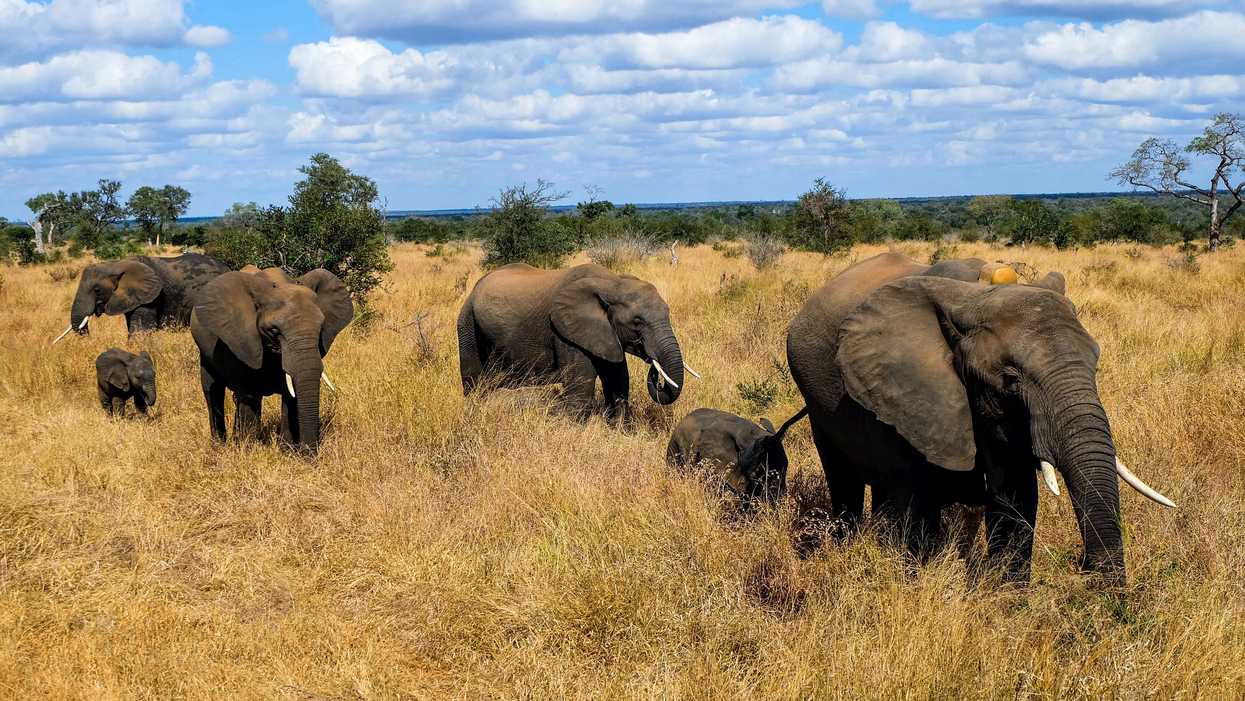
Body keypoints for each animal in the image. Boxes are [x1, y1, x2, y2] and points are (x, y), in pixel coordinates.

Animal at [191, 269, 353, 450]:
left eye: (321, 328)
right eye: (274, 330)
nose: (308, 452)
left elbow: (290, 395)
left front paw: (287, 450)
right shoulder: (244, 341)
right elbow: (249, 395)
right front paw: (248, 450)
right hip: (205, 354)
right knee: (212, 390)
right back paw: (219, 446)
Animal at [457, 263, 696, 419]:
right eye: (637, 322)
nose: (655, 369)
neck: (612, 284)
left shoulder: (605, 334)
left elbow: (618, 379)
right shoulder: (565, 332)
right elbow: (580, 390)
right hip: (467, 323)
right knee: (473, 381)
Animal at [785, 252, 1174, 584]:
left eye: (1095, 365)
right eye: (1011, 380)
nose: (1083, 570)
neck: (976, 296)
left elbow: (1015, 497)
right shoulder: (906, 392)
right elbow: (916, 505)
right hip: (817, 397)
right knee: (845, 480)